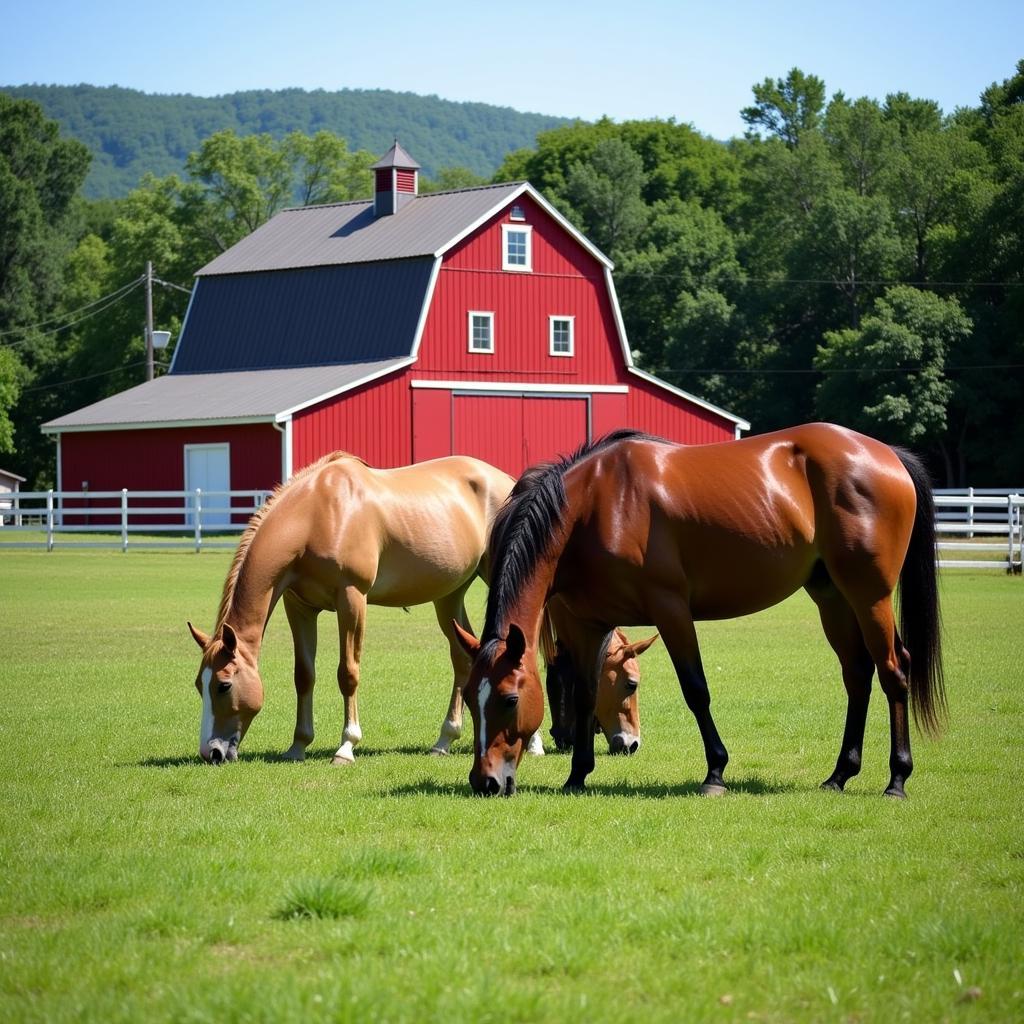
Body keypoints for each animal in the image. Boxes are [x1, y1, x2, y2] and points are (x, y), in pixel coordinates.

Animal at [456, 423, 942, 798]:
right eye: (469, 696)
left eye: (509, 699)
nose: (486, 782)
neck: (594, 506)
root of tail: (887, 454)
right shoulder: (586, 624)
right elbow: (585, 695)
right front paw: (577, 776)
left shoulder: (670, 609)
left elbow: (696, 690)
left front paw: (715, 772)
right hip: (832, 597)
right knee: (858, 674)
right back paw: (840, 774)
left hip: (869, 595)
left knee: (894, 670)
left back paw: (897, 779)